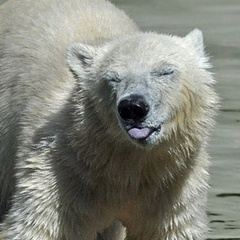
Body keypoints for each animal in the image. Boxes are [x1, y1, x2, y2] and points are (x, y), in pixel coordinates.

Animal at [0, 0, 218, 238]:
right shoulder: (62, 169)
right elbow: (44, 225)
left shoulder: (171, 183)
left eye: (165, 71)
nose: (132, 107)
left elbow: (169, 229)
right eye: (113, 78)